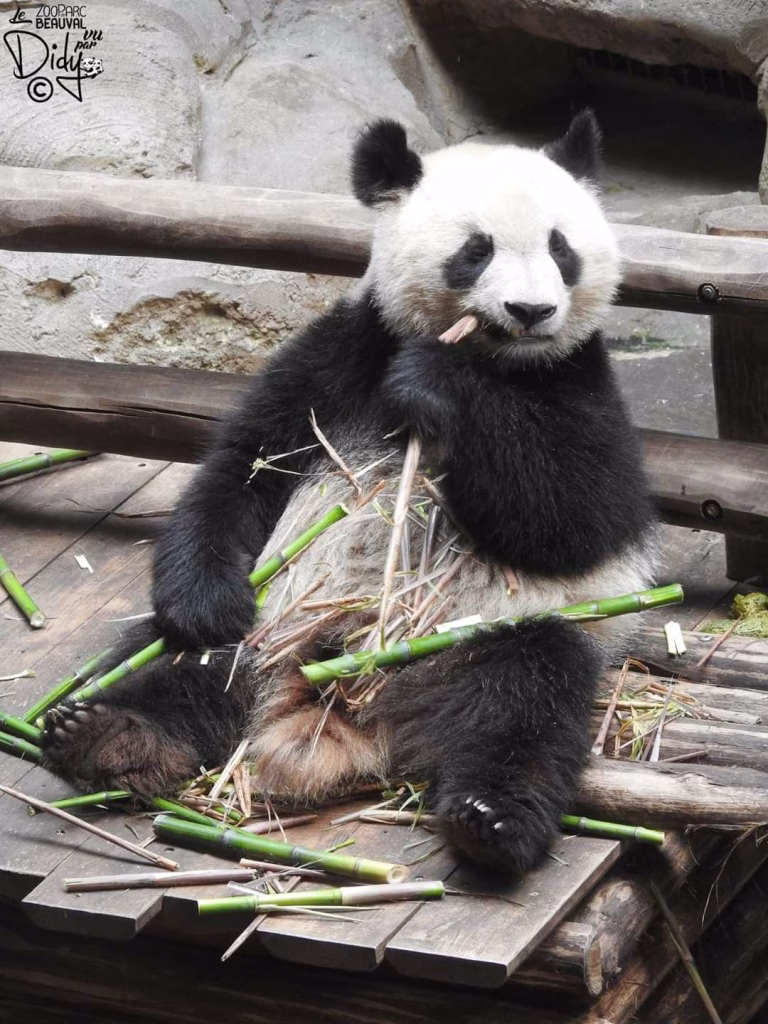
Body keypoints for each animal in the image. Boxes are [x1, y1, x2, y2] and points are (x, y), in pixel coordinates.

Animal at [41, 112, 657, 872]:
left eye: (561, 247)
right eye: (476, 250)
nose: (532, 310)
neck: (493, 358)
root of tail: (352, 709)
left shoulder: (578, 378)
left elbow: (578, 516)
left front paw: (438, 385)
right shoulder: (345, 354)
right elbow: (243, 469)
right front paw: (205, 602)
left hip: (490, 634)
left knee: (527, 697)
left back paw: (492, 819)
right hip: (277, 620)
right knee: (183, 663)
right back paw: (111, 736)